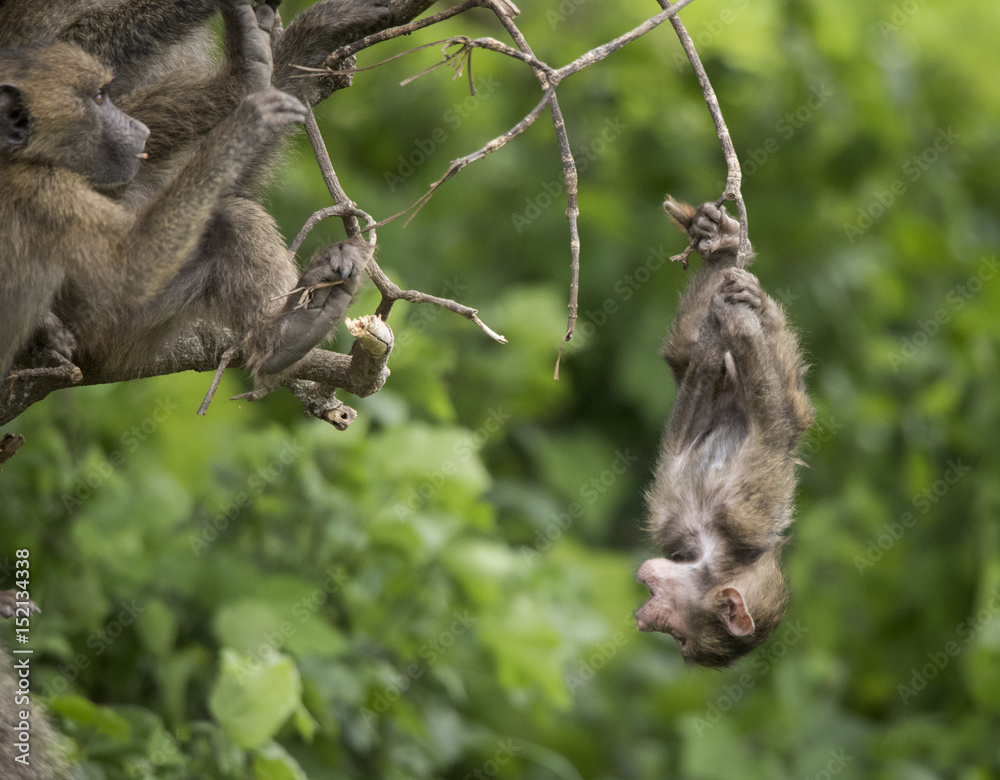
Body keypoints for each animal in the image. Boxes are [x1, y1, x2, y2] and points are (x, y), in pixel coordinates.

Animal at [634, 199, 814, 668]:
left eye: (678, 637)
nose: (641, 620)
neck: (713, 545)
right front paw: (740, 313)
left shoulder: (718, 515)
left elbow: (770, 429)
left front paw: (741, 326)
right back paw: (726, 249)